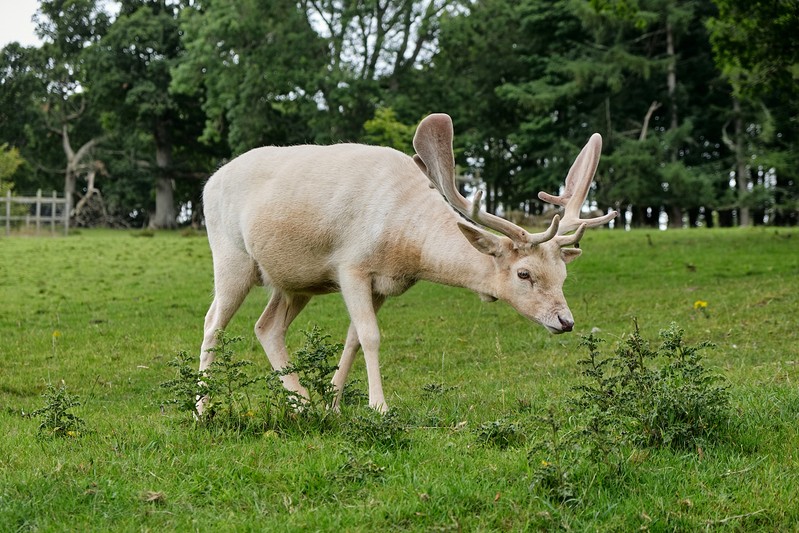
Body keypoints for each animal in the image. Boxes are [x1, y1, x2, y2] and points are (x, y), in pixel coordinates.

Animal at [197, 112, 616, 412]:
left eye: (563, 274)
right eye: (523, 273)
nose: (566, 321)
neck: (403, 243)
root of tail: (209, 182)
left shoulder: (384, 284)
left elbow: (353, 338)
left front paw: (332, 404)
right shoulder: (351, 266)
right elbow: (370, 335)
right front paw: (379, 408)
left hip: (294, 281)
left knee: (266, 327)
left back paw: (302, 403)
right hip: (230, 255)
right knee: (213, 322)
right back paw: (203, 409)